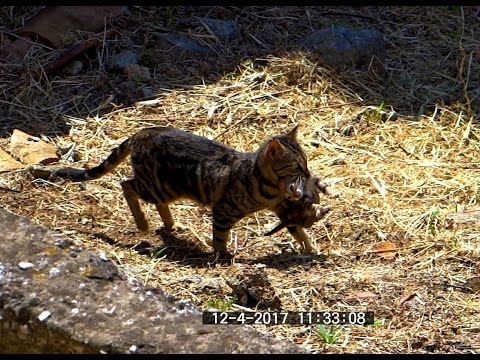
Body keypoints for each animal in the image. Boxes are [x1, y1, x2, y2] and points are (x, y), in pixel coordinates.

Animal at [51, 125, 312, 258]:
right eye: (297, 165)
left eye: (306, 162)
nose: (309, 174)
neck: (268, 187)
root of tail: (142, 132)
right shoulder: (222, 212)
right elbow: (219, 239)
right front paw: (222, 258)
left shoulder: (284, 211)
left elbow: (299, 232)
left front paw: (310, 252)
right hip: (154, 186)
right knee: (126, 184)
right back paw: (143, 223)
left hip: (165, 189)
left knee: (153, 200)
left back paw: (170, 224)